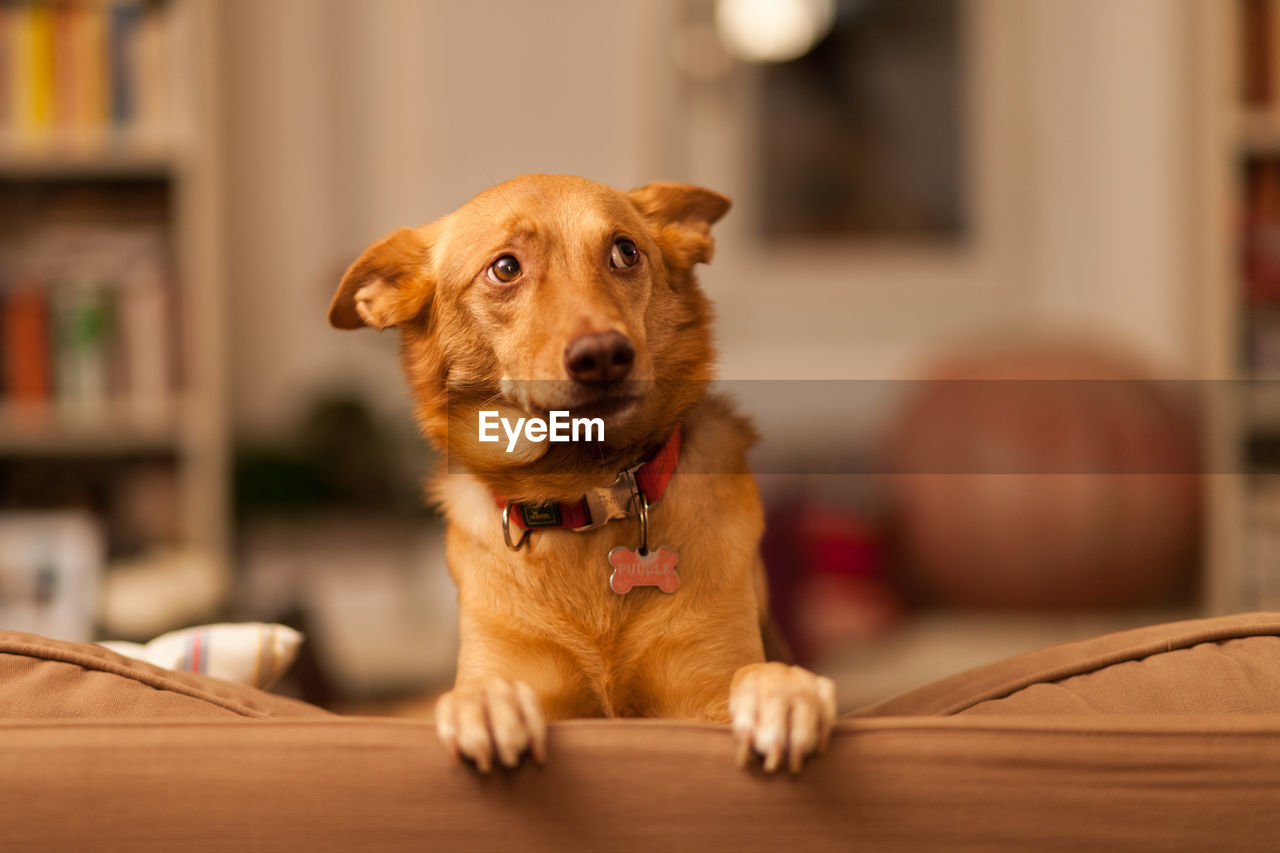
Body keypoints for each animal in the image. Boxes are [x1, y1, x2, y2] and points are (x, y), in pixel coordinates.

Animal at [325, 172, 834, 768]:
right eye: (505, 268)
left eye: (625, 252)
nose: (604, 354)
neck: (584, 490)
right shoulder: (520, 669)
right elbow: (485, 686)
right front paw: (486, 702)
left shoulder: (701, 690)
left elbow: (752, 675)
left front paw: (785, 690)